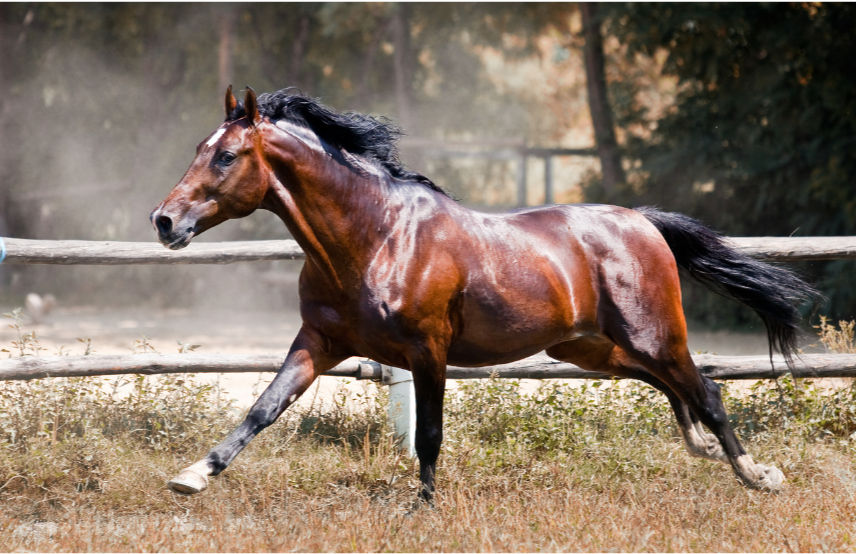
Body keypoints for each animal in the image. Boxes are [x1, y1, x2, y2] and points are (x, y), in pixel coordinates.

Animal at [151, 86, 817, 504]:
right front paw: (192, 476)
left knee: (706, 390)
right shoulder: (319, 341)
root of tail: (641, 221)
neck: (376, 236)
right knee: (671, 387)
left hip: (653, 335)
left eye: (227, 155)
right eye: (197, 150)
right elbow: (264, 408)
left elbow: (429, 434)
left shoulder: (428, 351)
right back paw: (706, 451)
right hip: (590, 349)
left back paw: (758, 475)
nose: (164, 221)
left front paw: (422, 509)